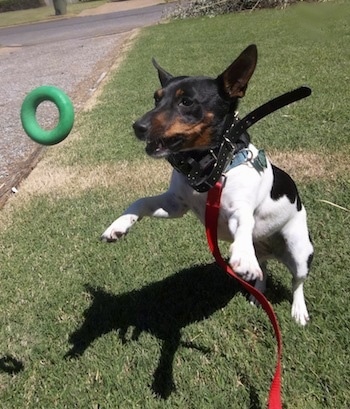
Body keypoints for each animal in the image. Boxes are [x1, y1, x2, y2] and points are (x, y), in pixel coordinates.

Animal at [102, 44, 314, 326]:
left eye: (186, 102)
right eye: (156, 99)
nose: (138, 126)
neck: (209, 165)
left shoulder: (239, 211)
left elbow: (244, 222)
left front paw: (242, 254)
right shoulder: (175, 205)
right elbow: (142, 201)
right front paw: (119, 224)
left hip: (300, 250)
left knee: (297, 281)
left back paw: (298, 309)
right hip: (267, 254)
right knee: (263, 271)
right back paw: (258, 294)